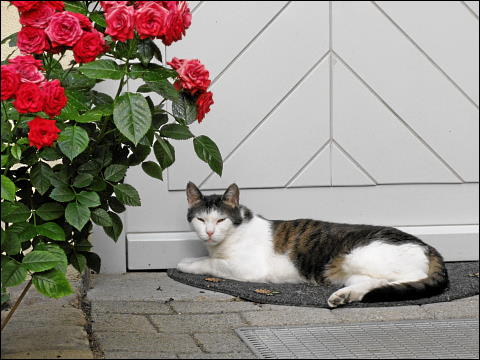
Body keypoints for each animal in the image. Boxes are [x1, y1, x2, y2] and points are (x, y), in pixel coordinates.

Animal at [177, 183, 450, 306]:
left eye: (220, 219)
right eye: (201, 220)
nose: (209, 232)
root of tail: (427, 245)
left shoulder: (247, 269)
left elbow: (210, 263)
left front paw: (186, 263)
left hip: (360, 255)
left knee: (407, 278)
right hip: (352, 271)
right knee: (375, 283)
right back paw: (344, 296)